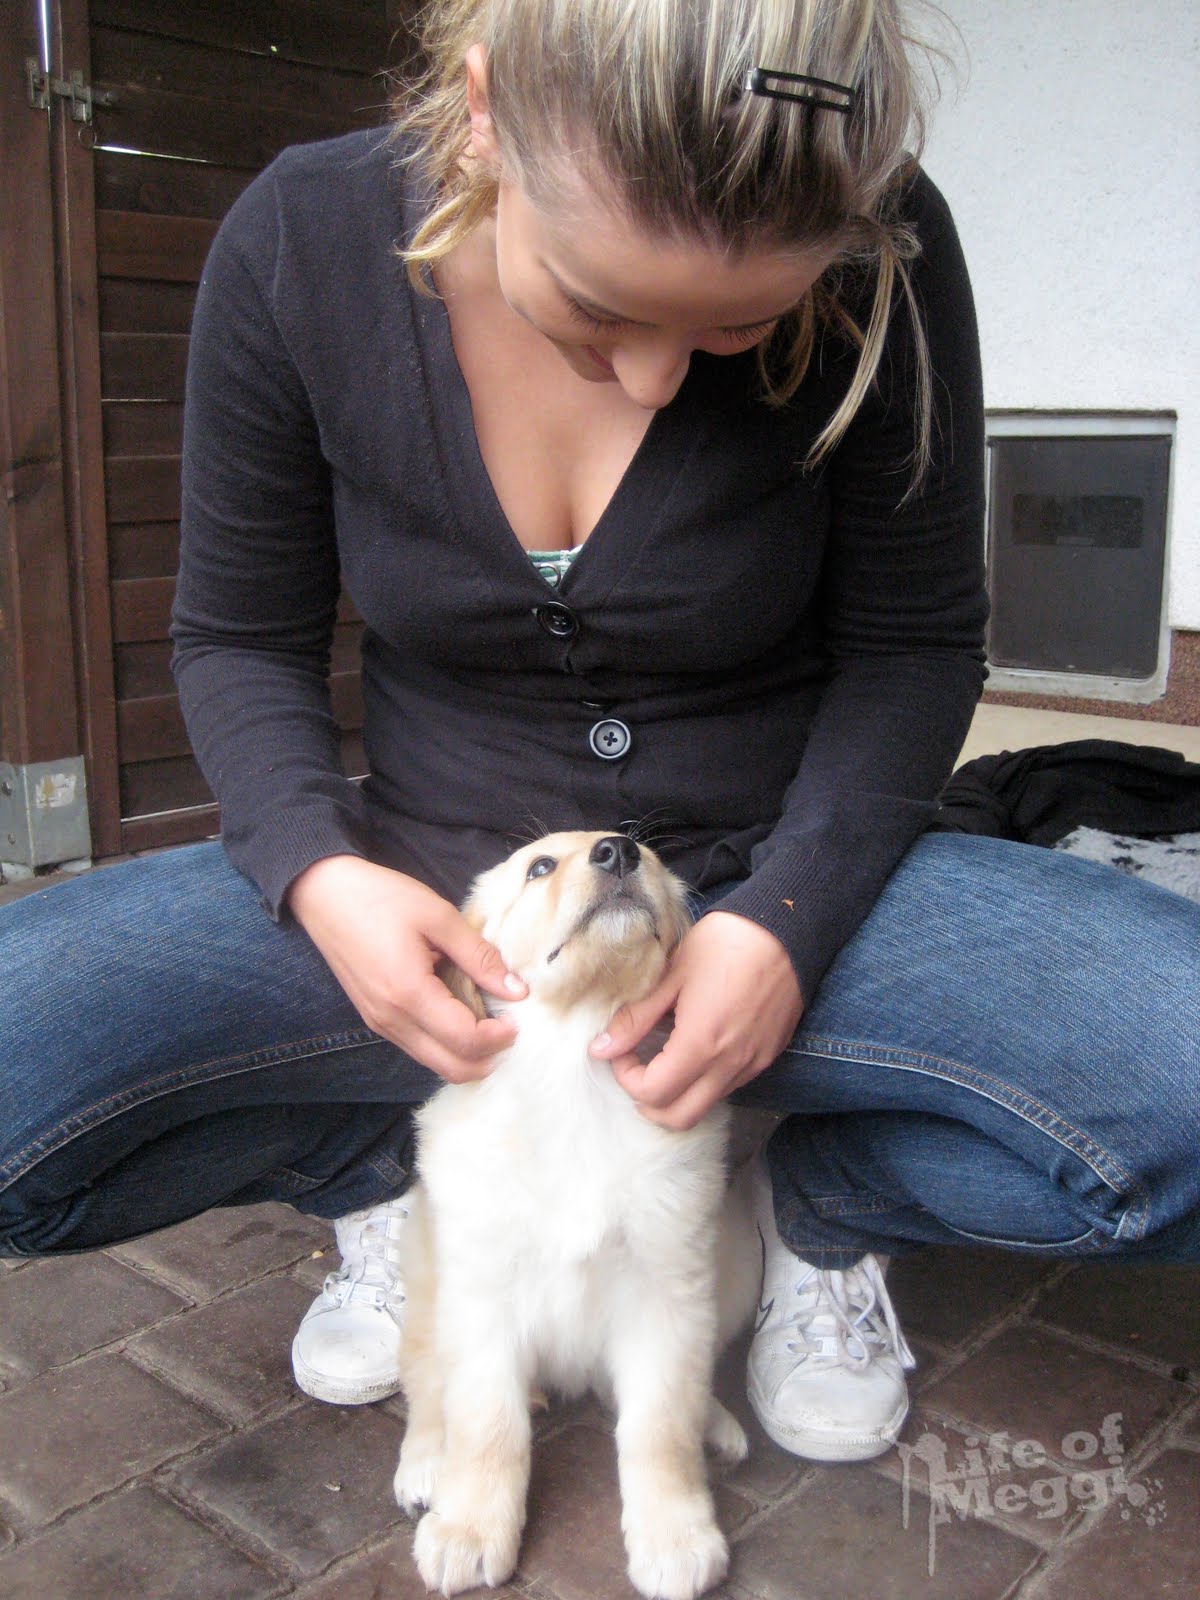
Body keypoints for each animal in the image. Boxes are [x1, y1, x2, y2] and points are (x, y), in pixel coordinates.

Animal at [393, 831, 760, 1599]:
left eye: (650, 856)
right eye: (539, 868)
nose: (619, 851)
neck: (573, 1078)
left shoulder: (667, 1292)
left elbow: (660, 1428)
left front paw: (677, 1537)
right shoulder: (482, 1298)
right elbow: (487, 1426)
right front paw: (468, 1530)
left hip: (737, 1259)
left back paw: (717, 1425)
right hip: (426, 1275)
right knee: (427, 1384)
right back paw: (426, 1466)